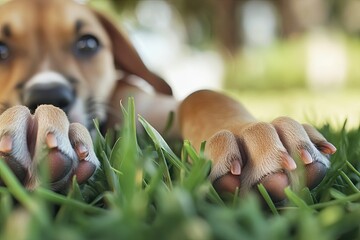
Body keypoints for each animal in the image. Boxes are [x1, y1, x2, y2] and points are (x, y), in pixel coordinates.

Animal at [0, 0, 334, 199]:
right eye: (1, 48)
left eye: (88, 44)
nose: (47, 96)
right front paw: (29, 128)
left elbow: (201, 95)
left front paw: (247, 133)